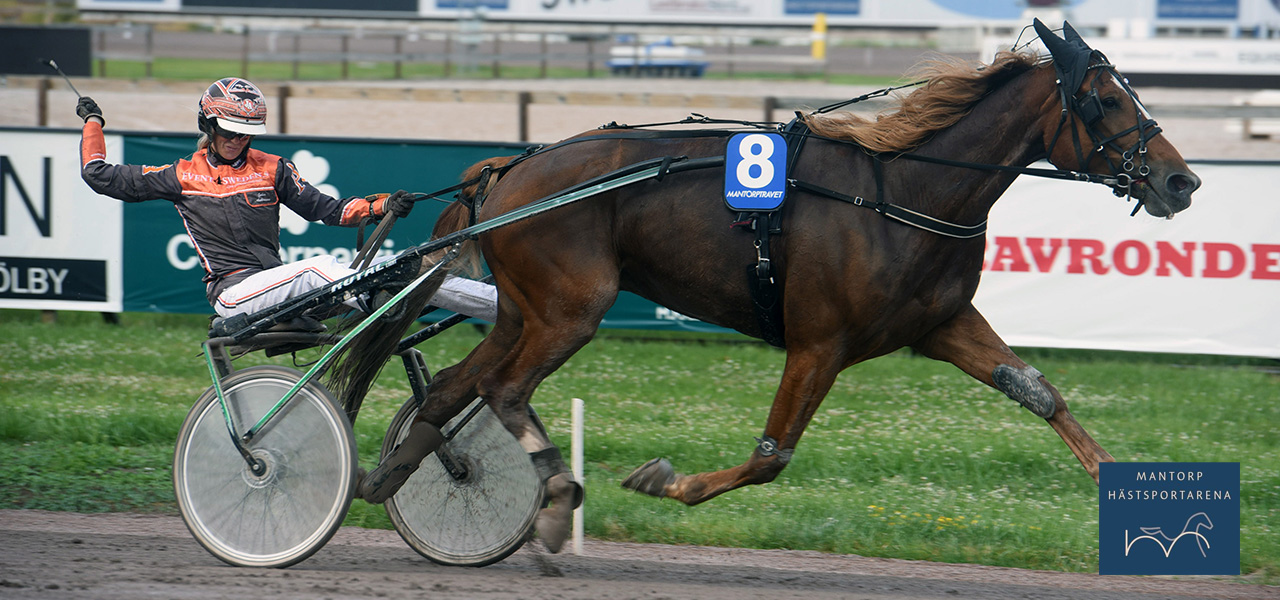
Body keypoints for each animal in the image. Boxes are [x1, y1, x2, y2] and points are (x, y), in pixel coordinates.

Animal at [337, 21, 1198, 550]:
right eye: (1104, 100)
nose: (1180, 180)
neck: (903, 193)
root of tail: (507, 168)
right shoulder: (819, 342)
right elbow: (771, 456)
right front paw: (662, 479)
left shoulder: (941, 324)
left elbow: (1040, 393)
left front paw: (1127, 491)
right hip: (571, 310)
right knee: (505, 391)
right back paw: (550, 501)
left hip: (526, 311)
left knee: (454, 387)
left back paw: (384, 477)